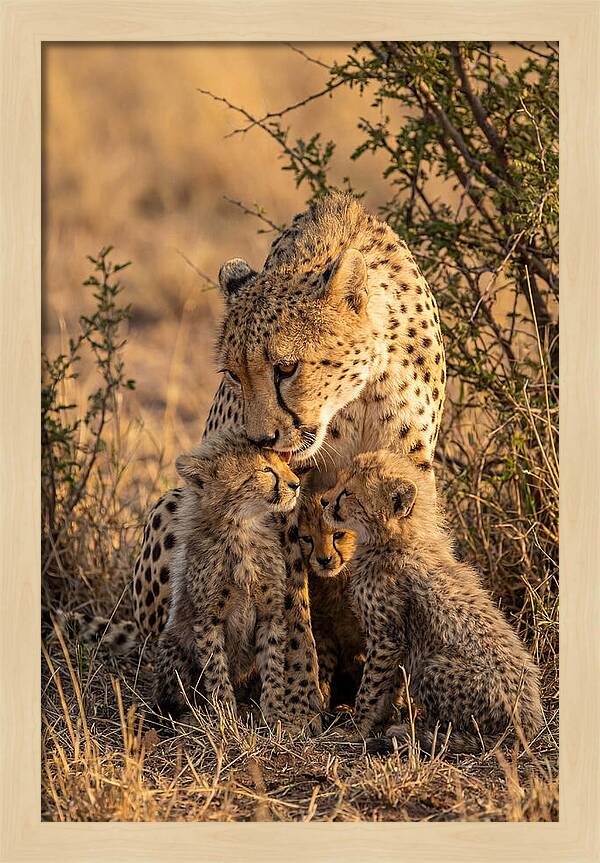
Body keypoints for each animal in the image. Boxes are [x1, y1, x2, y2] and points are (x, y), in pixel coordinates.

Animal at [153, 429, 301, 725]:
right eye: (266, 470)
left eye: (282, 463)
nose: (296, 484)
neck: (242, 530)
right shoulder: (208, 619)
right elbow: (216, 668)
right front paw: (225, 716)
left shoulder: (270, 614)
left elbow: (272, 664)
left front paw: (274, 714)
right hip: (172, 644)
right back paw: (190, 716)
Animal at [297, 494, 365, 711]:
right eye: (307, 539)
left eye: (339, 535)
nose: (324, 560)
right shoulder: (324, 629)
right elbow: (322, 666)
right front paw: (322, 702)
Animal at [321, 450, 544, 754]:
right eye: (339, 482)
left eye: (348, 493)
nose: (323, 500)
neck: (396, 540)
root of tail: (528, 724)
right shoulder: (396, 642)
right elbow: (388, 686)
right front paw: (379, 719)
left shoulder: (387, 638)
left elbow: (372, 687)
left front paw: (357, 728)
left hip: (433, 665)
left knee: (459, 730)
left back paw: (414, 732)